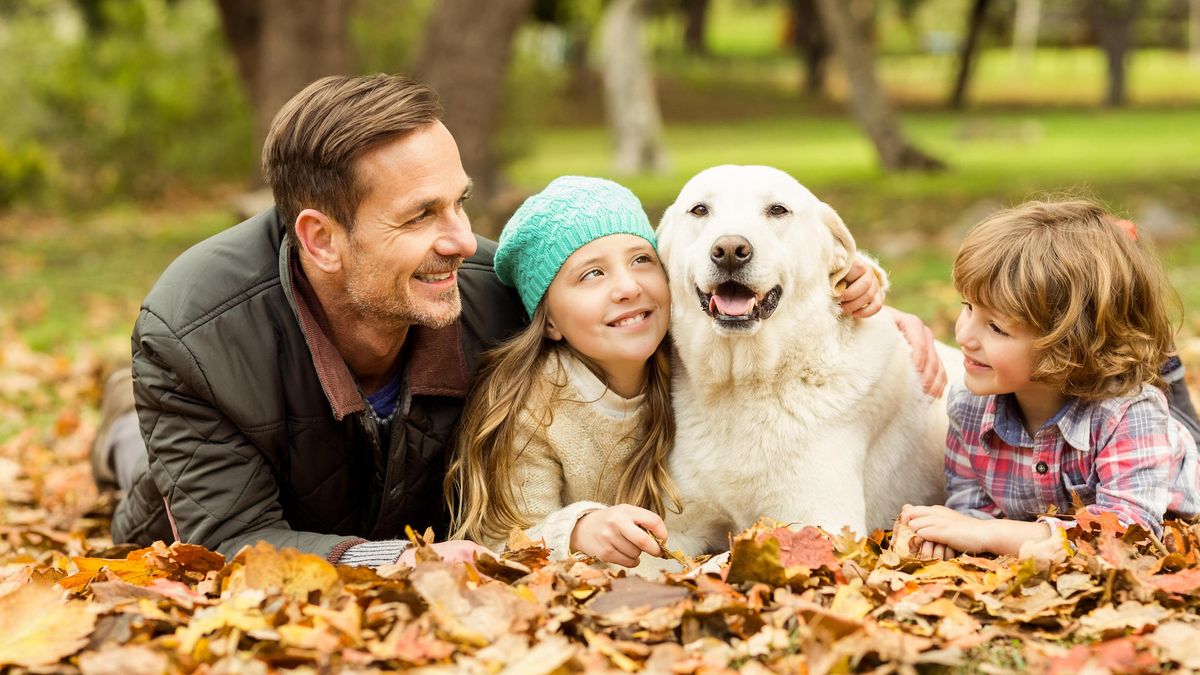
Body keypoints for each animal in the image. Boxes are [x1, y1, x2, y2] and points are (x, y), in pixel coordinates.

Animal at [657, 164, 964, 552]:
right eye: (699, 210)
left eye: (777, 210)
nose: (729, 250)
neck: (742, 383)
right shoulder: (674, 530)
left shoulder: (820, 523)